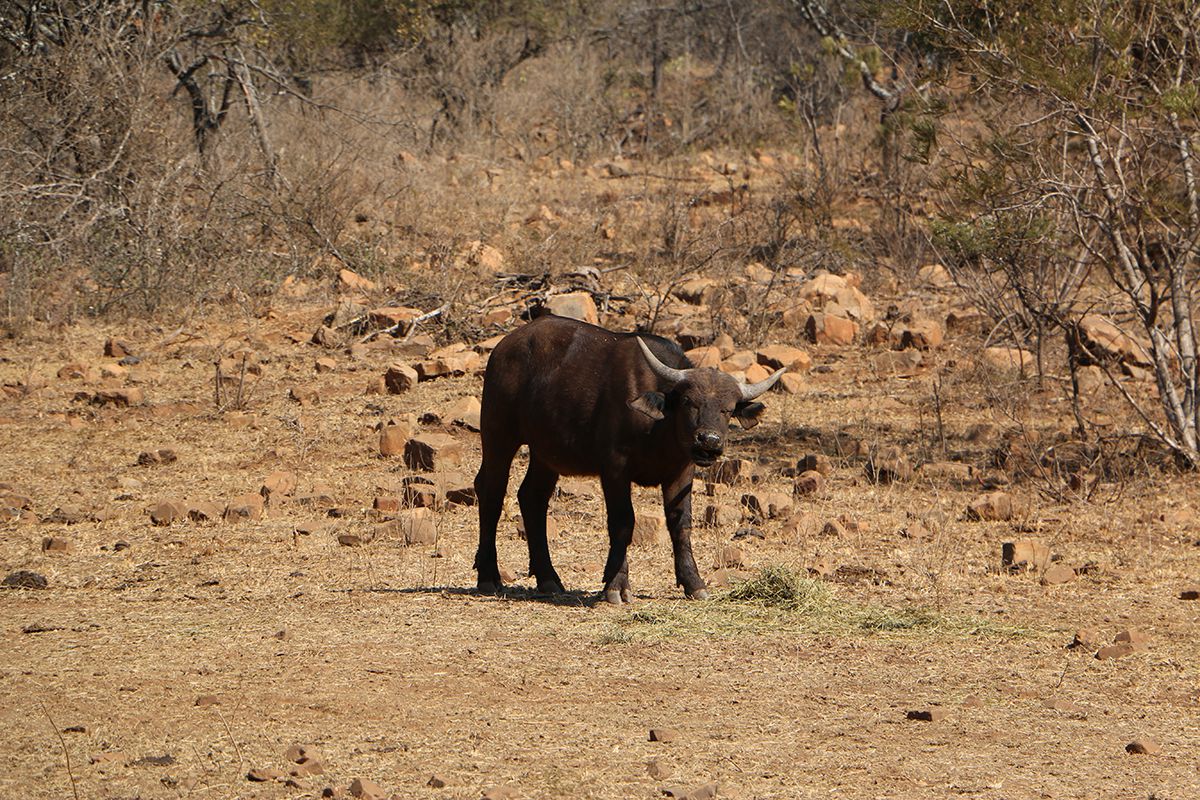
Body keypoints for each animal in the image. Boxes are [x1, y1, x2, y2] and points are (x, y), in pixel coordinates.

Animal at [472, 316, 782, 604]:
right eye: (688, 402)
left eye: (727, 409)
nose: (709, 441)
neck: (659, 429)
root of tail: (504, 347)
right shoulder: (615, 469)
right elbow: (622, 522)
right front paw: (616, 585)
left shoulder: (681, 471)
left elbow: (681, 524)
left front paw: (694, 583)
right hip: (498, 434)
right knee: (491, 492)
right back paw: (488, 577)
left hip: (545, 453)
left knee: (532, 498)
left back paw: (549, 579)